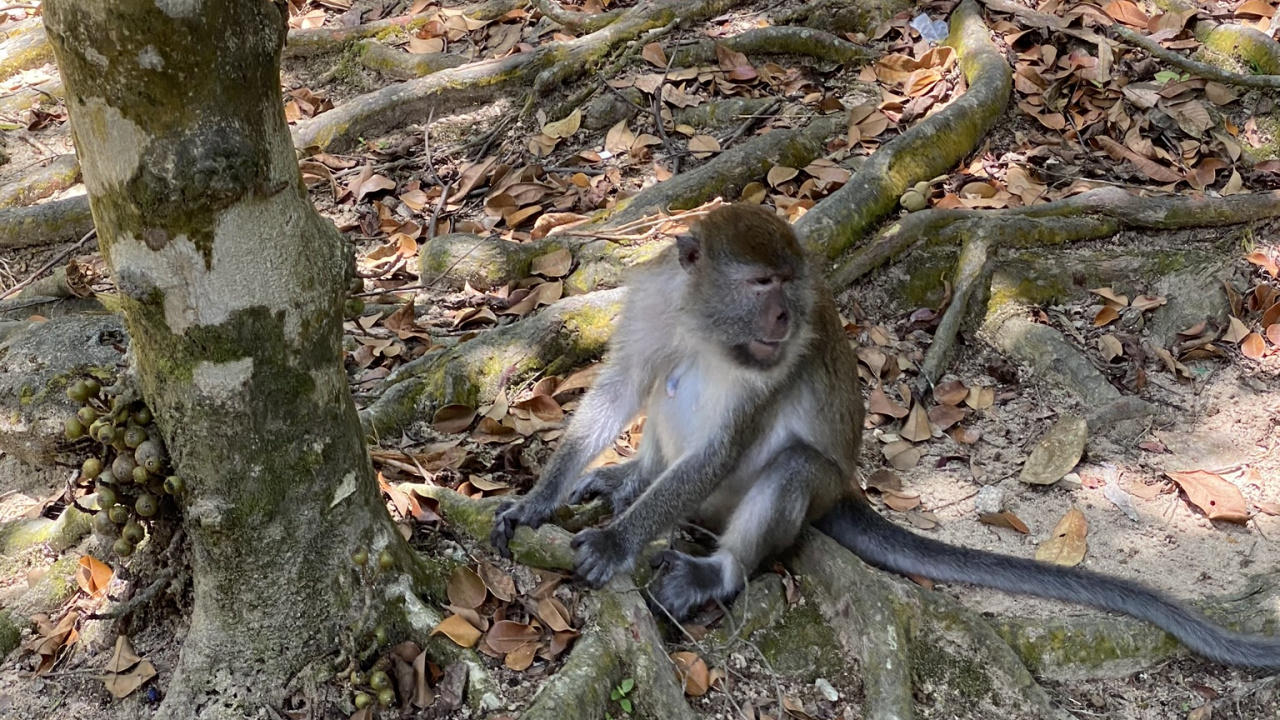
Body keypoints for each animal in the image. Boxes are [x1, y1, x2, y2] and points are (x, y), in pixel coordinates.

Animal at [491, 203, 1280, 671]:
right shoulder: (656, 302)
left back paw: (718, 570)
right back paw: (627, 479)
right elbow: (623, 385)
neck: (704, 327)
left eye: (788, 282)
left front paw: (617, 542)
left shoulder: (774, 362)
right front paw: (540, 502)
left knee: (791, 469)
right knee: (664, 396)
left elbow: (722, 447)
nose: (783, 317)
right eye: (759, 283)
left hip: (797, 492)